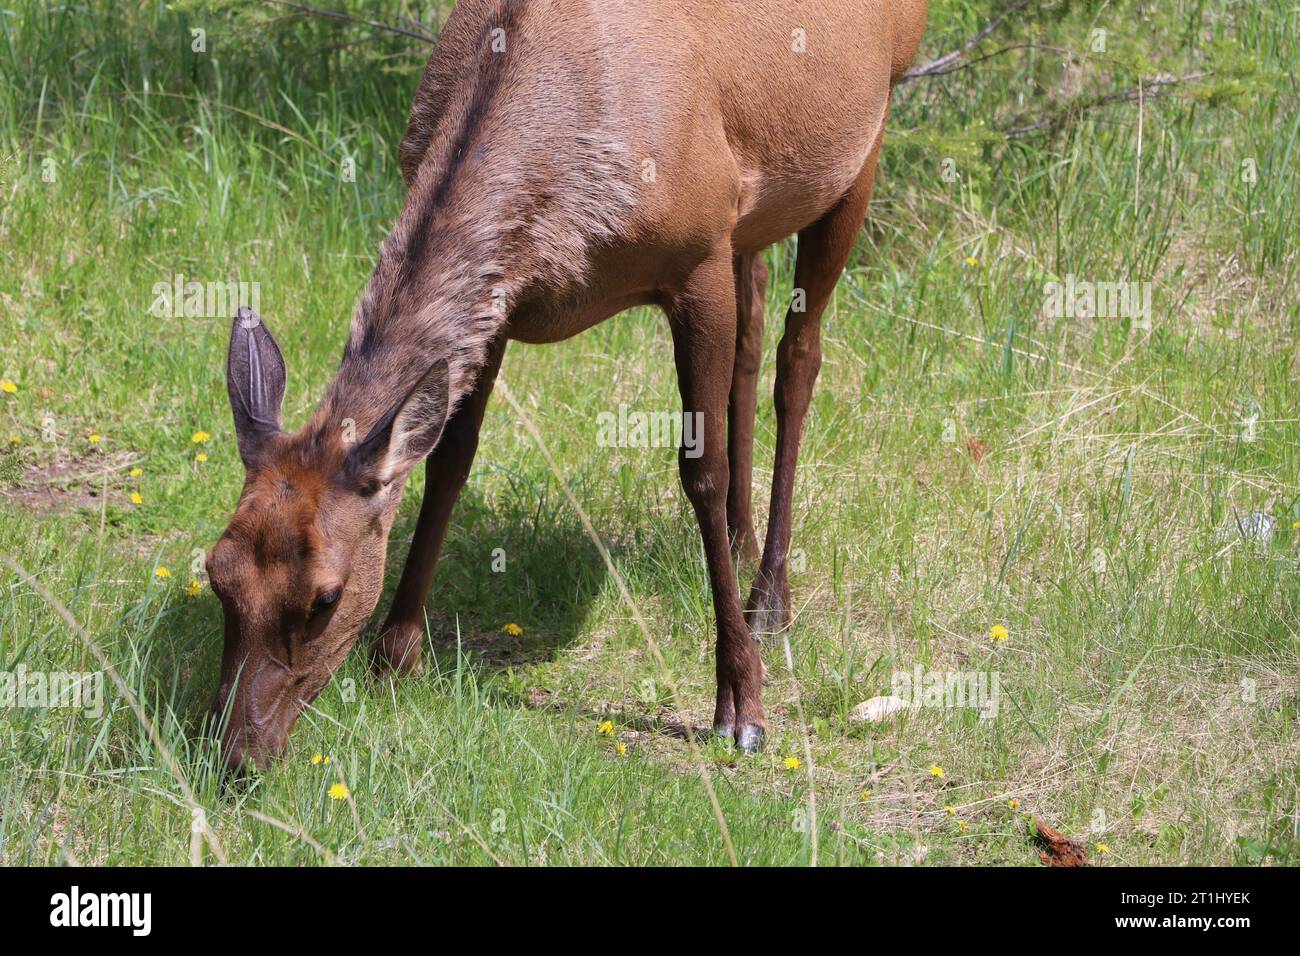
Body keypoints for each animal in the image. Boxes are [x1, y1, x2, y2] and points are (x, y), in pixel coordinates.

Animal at [208, 0, 930, 764]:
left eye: (325, 596)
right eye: (217, 573)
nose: (234, 751)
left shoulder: (699, 248)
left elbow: (699, 469)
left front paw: (741, 703)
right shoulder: (504, 302)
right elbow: (449, 459)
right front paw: (397, 653)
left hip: (867, 135)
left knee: (799, 360)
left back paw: (769, 598)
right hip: (756, 216)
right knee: (755, 324)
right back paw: (742, 539)